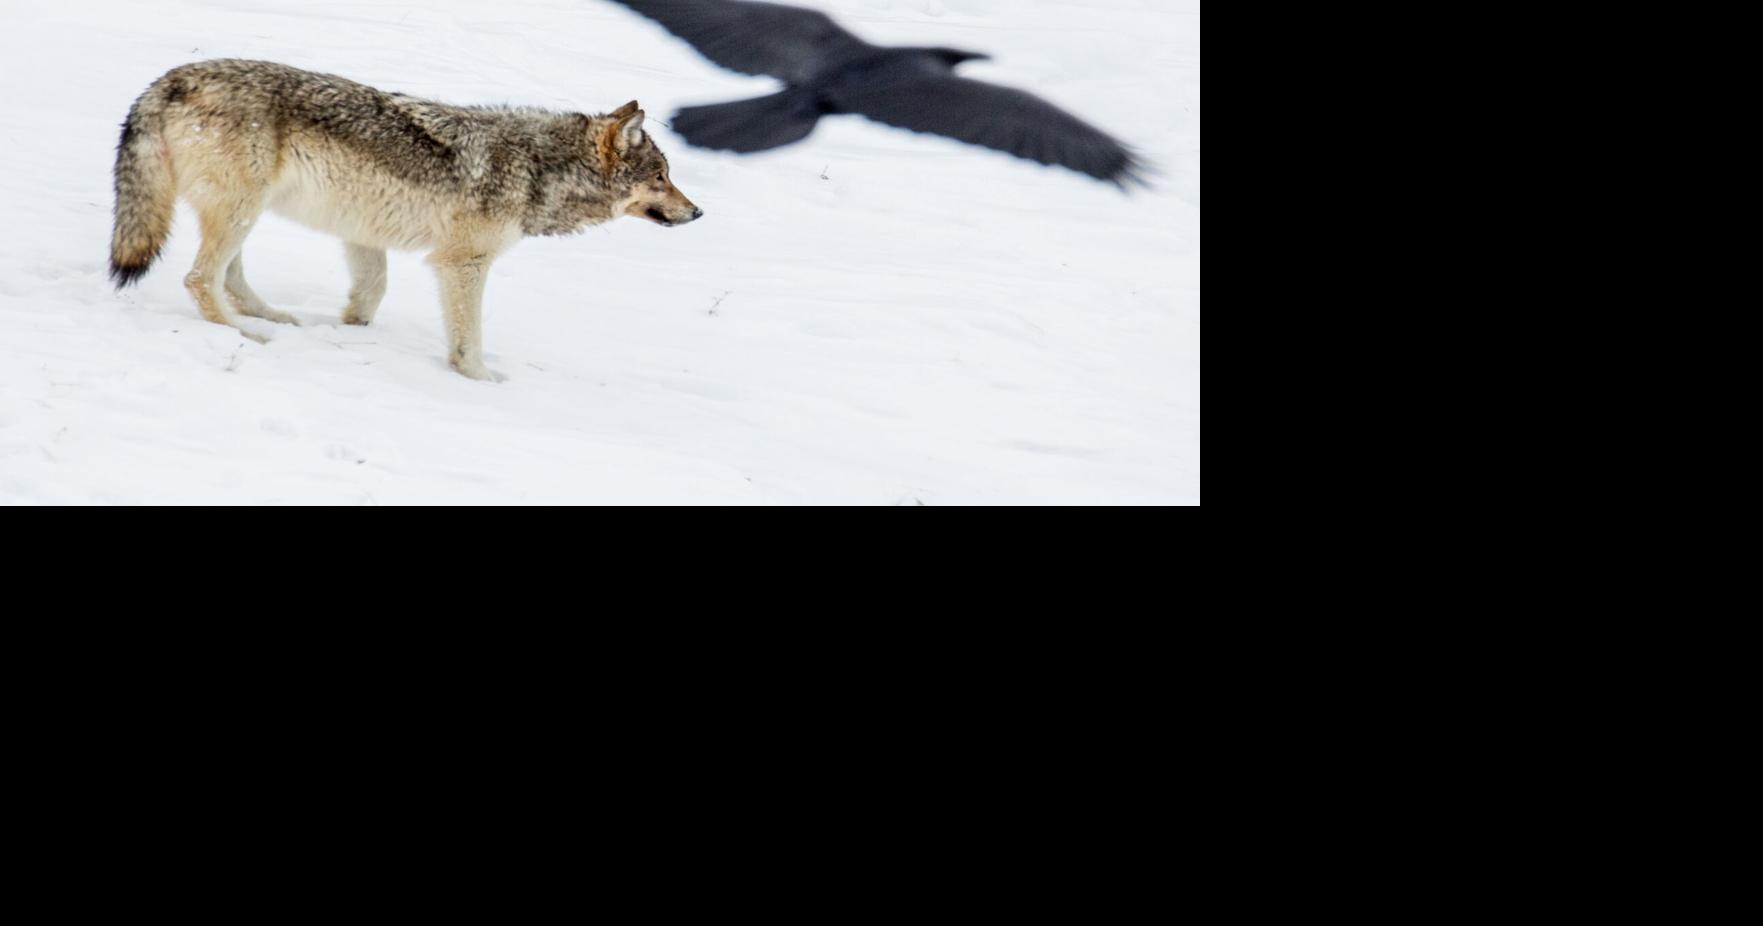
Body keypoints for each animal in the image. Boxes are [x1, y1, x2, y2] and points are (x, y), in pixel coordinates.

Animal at [109, 59, 702, 380]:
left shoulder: (363, 233)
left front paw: (349, 332)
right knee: (199, 278)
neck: (539, 167)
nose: (698, 212)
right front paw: (482, 380)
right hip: (239, 211)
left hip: (244, 214)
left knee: (227, 275)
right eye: (661, 177)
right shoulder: (464, 263)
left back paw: (271, 317)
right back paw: (244, 333)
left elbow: (370, 296)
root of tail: (168, 79)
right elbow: (469, 340)